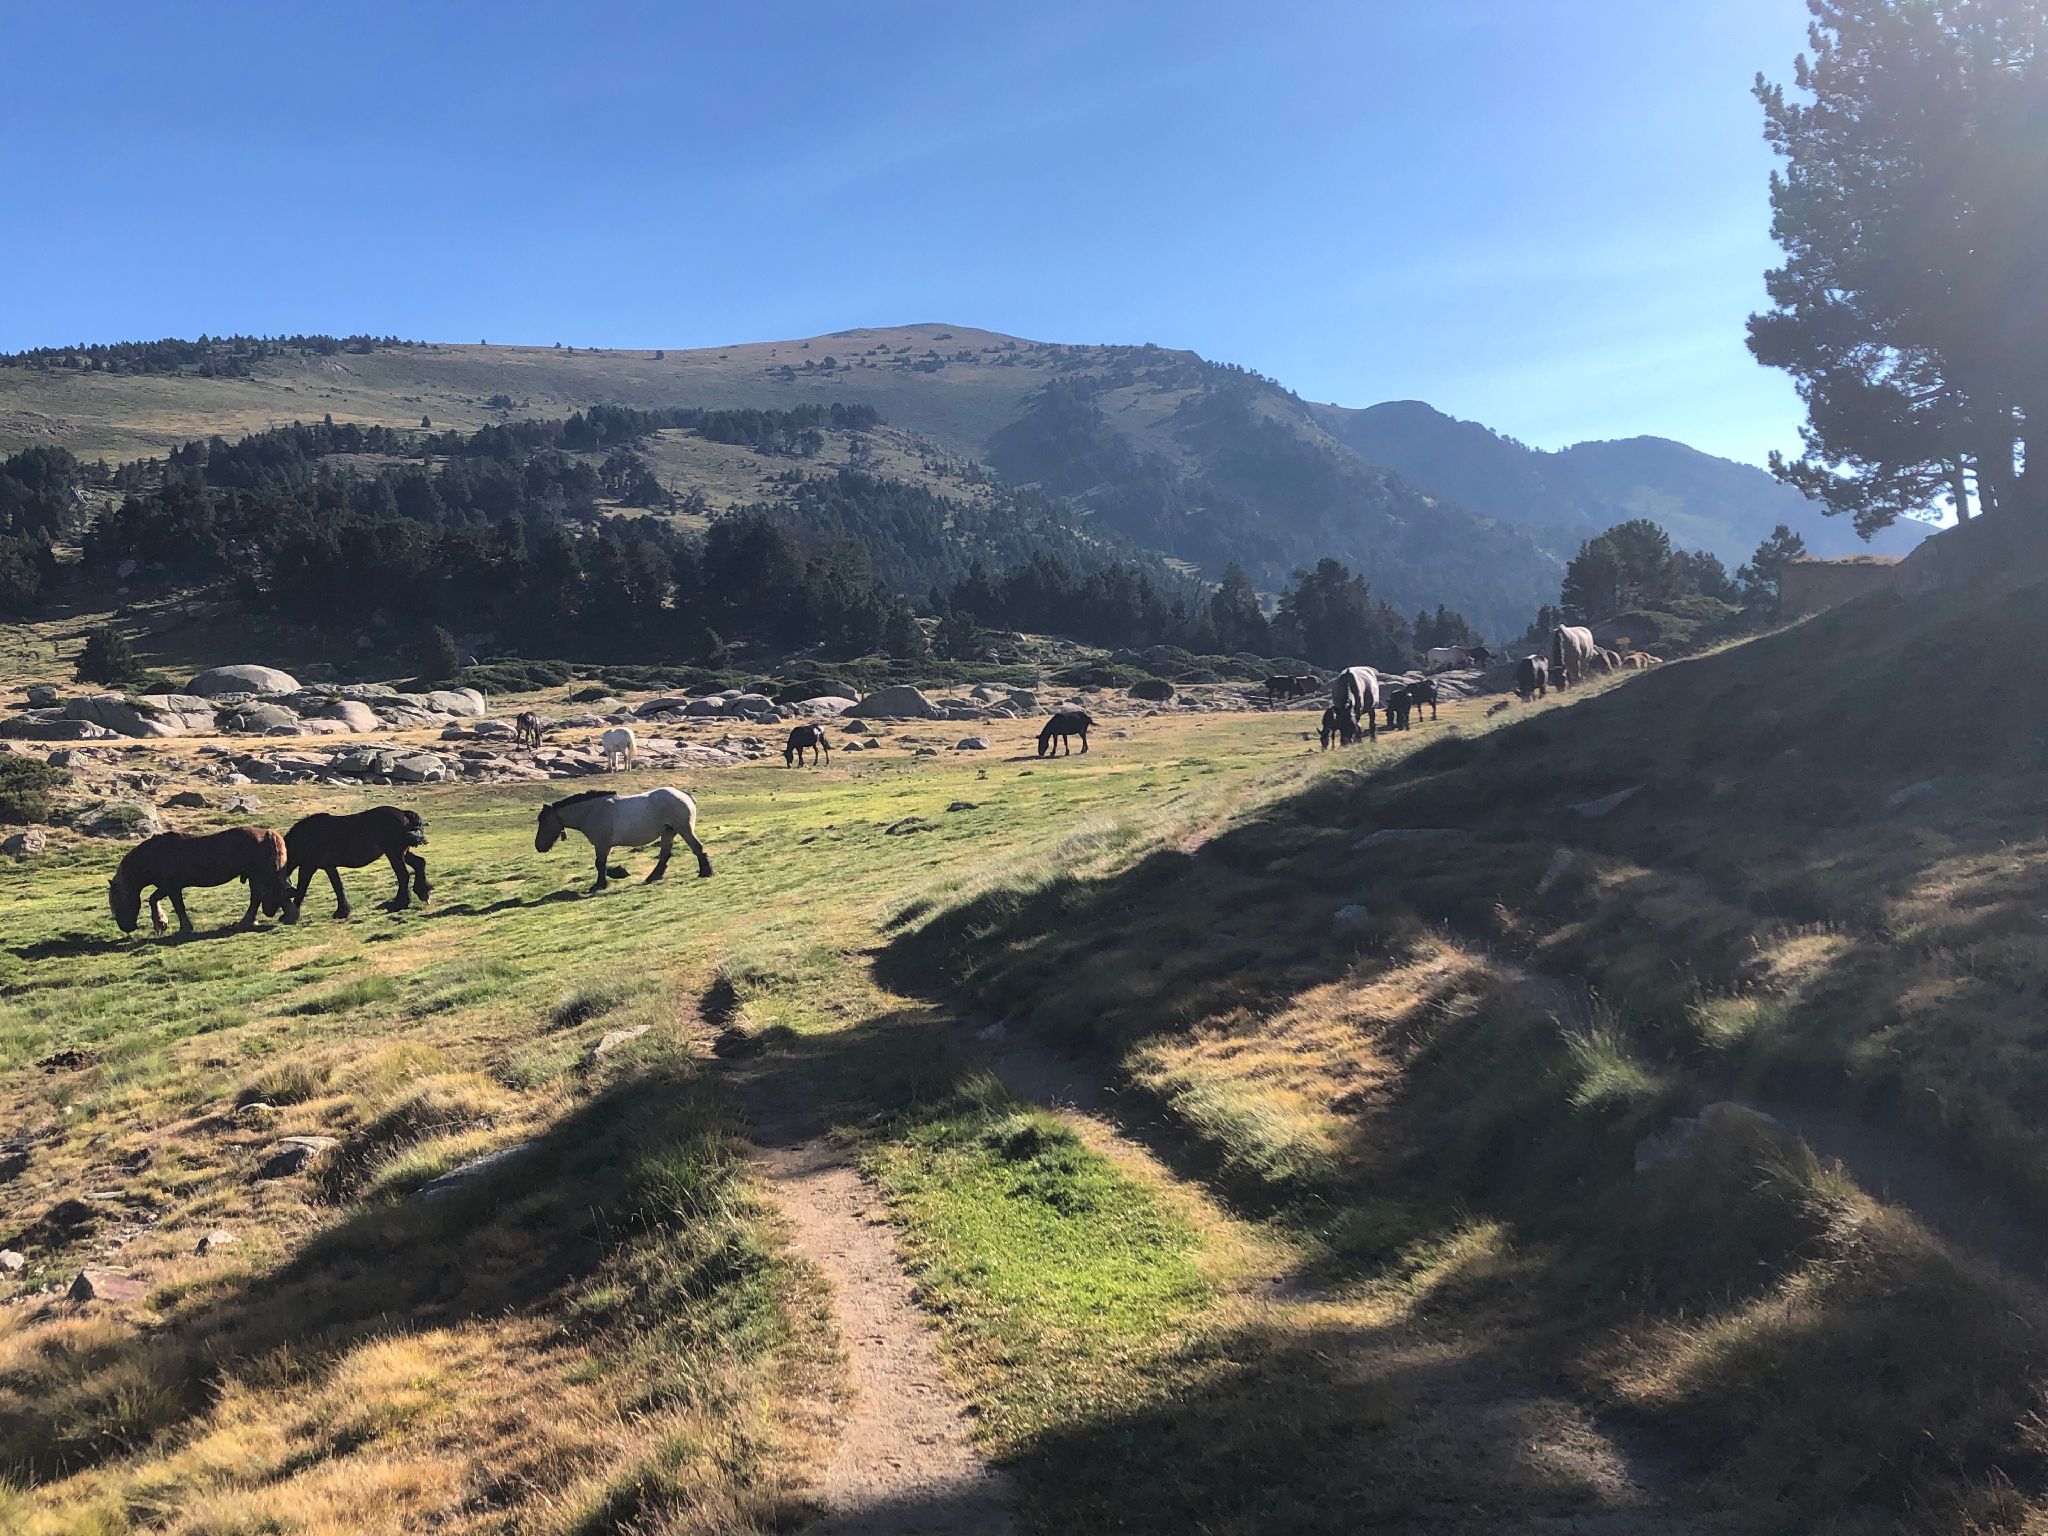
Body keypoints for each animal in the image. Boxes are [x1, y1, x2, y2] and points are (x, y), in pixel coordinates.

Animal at [108, 827, 299, 937]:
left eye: (117, 902)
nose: (126, 928)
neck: (152, 855)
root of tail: (268, 834)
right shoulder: (169, 887)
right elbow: (161, 901)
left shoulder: (171, 887)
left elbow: (166, 903)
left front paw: (165, 924)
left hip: (260, 876)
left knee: (261, 896)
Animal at [284, 807, 431, 919]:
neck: (306, 837)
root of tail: (403, 813)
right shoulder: (327, 867)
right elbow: (337, 886)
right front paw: (343, 911)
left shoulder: (309, 867)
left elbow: (303, 887)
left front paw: (290, 916)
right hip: (402, 853)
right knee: (419, 863)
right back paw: (423, 893)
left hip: (394, 853)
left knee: (403, 875)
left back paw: (399, 904)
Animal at [535, 787, 712, 892]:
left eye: (544, 822)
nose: (539, 847)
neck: (591, 811)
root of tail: (685, 796)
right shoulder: (604, 846)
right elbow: (601, 864)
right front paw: (617, 873)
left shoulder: (602, 845)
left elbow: (600, 864)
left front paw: (600, 884)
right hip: (668, 833)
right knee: (665, 856)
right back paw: (652, 877)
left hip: (684, 829)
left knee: (697, 848)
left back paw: (705, 872)